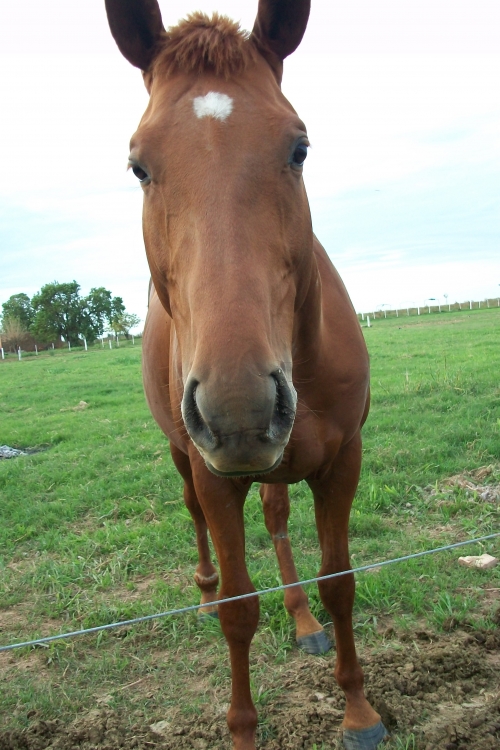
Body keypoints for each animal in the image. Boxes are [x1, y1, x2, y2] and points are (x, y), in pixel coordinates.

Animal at [104, 1, 386, 750]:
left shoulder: (341, 461)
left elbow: (339, 581)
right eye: (138, 165)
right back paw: (203, 591)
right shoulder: (215, 475)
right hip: (187, 456)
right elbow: (239, 609)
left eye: (299, 148)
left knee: (278, 515)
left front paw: (358, 710)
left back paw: (303, 620)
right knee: (194, 517)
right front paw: (240, 729)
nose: (238, 410)